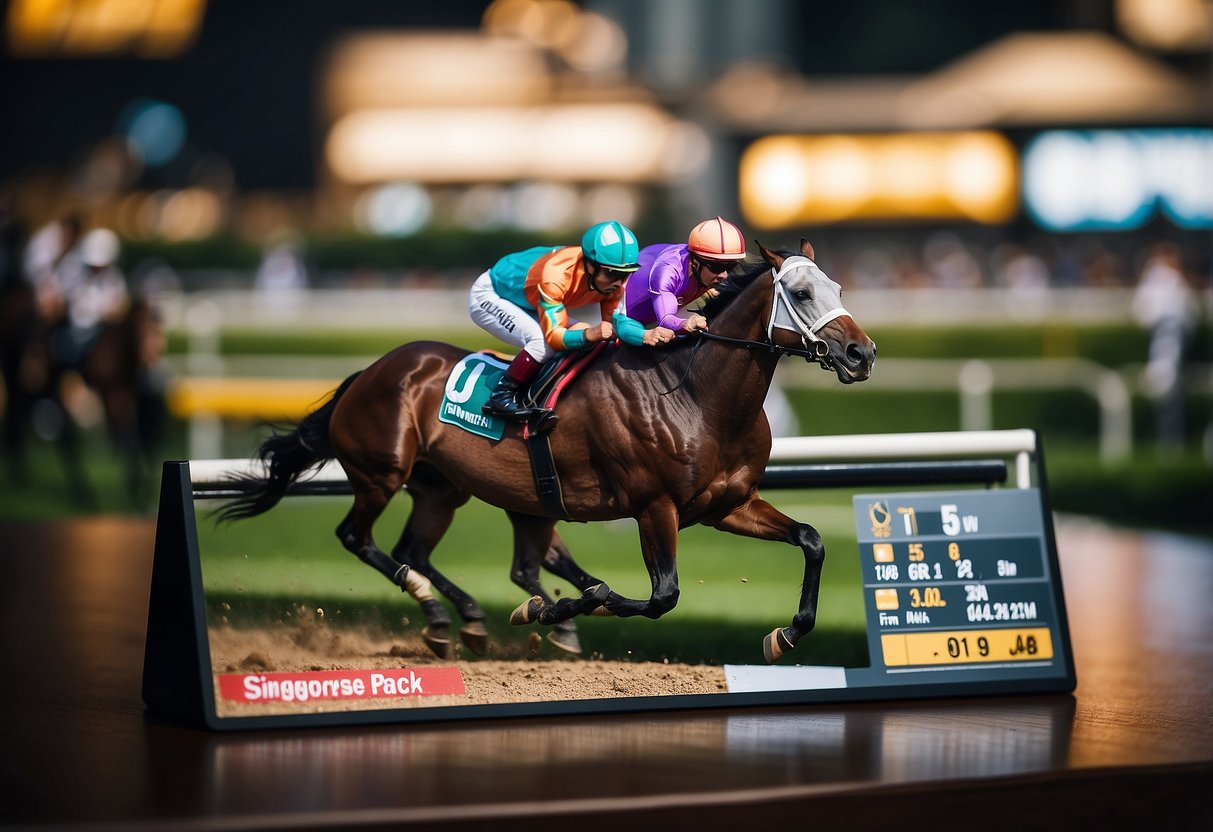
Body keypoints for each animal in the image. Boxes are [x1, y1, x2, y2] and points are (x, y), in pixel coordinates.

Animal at [219, 240, 876, 663]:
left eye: (839, 286)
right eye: (800, 291)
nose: (862, 354)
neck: (695, 393)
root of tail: (370, 372)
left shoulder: (727, 504)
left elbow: (812, 540)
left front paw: (786, 634)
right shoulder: (655, 508)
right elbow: (660, 596)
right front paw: (558, 609)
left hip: (447, 489)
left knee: (430, 552)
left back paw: (458, 619)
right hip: (383, 472)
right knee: (359, 538)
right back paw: (446, 607)